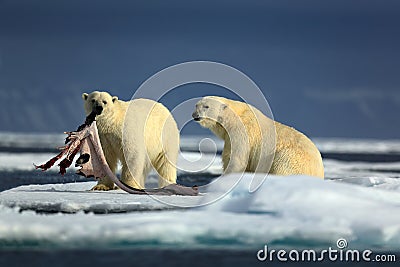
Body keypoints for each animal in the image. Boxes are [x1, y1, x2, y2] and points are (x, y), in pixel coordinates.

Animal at [191, 97, 324, 180]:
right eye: (196, 105)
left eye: (206, 106)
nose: (195, 115)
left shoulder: (242, 132)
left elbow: (237, 159)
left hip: (290, 158)